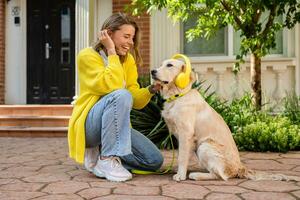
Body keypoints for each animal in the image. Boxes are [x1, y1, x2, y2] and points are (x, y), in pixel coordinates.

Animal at [151, 58, 300, 183]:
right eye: (161, 64)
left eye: (169, 65)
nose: (152, 71)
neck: (178, 95)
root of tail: (240, 167)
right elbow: (182, 156)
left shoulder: (185, 133)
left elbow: (182, 157)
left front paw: (180, 175)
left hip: (205, 146)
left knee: (221, 176)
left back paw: (196, 175)